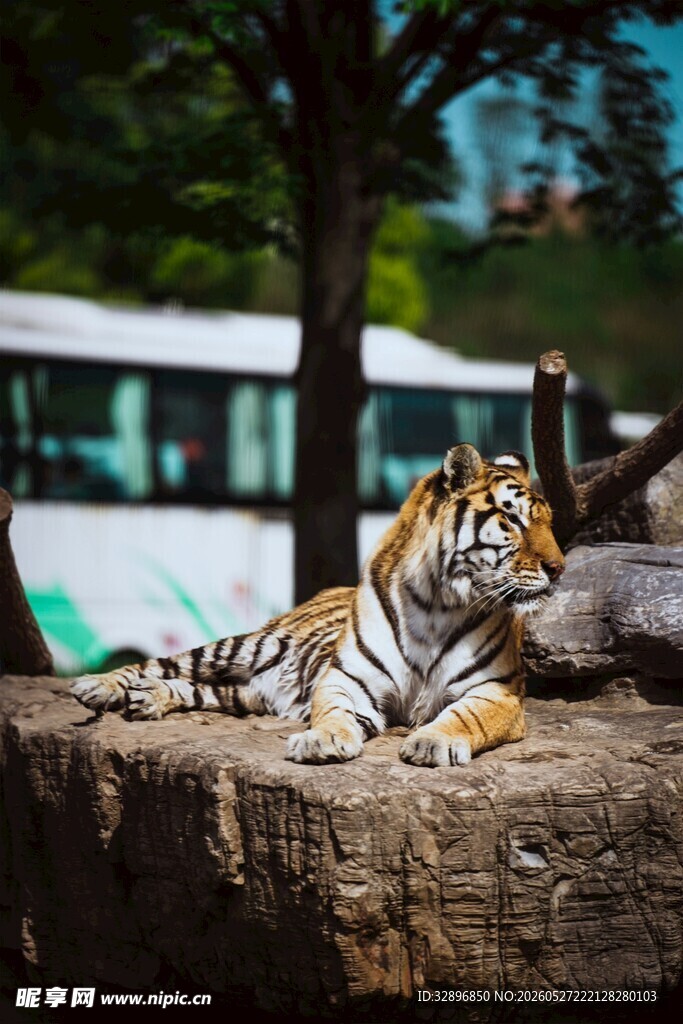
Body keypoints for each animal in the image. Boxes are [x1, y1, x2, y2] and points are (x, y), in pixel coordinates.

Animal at [71, 443, 564, 767]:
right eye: (512, 519)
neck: (437, 603)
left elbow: (465, 716)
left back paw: (147, 699)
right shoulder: (348, 678)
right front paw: (321, 740)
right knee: (159, 664)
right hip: (245, 646)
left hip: (244, 693)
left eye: (548, 523)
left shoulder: (496, 690)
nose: (558, 568)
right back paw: (98, 686)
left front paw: (431, 743)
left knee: (197, 689)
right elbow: (334, 712)